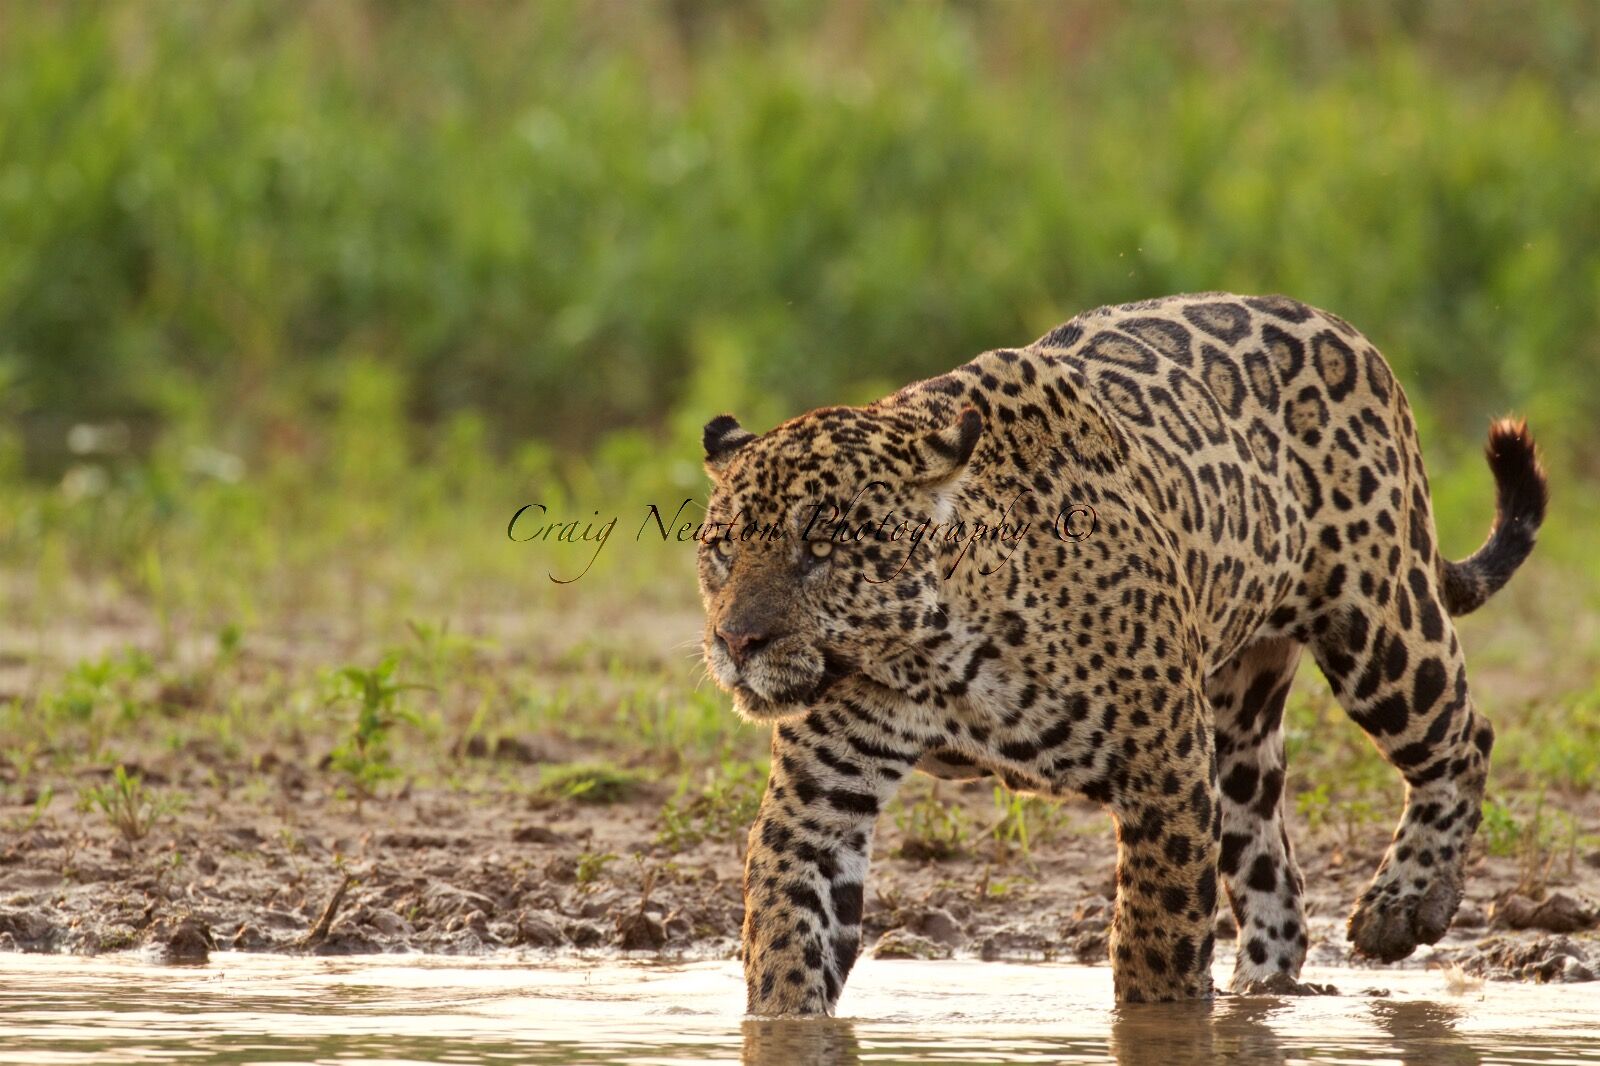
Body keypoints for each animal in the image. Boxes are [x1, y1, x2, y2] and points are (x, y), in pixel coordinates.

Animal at [694, 292, 1547, 1013]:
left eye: (821, 551)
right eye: (721, 549)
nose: (737, 640)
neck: (933, 659)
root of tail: (1349, 333)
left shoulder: (1164, 770)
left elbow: (1157, 942)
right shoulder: (820, 800)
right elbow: (789, 944)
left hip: (1378, 625)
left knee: (1462, 740)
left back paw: (1404, 906)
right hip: (1236, 720)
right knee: (1274, 866)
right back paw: (1266, 991)